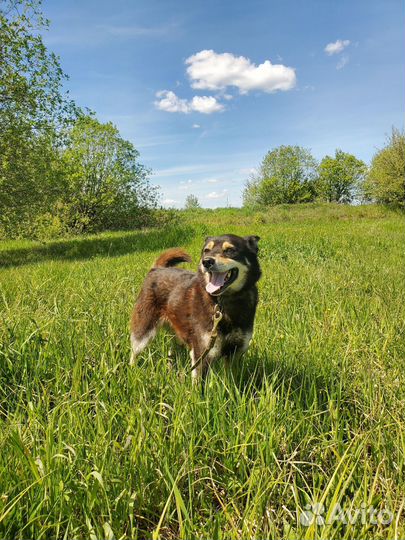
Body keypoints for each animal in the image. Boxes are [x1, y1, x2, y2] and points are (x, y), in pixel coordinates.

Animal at [130, 234, 262, 378]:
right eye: (206, 250)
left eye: (229, 250)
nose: (207, 262)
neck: (223, 302)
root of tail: (157, 268)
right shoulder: (202, 353)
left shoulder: (235, 353)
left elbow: (231, 381)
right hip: (143, 331)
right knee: (134, 352)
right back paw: (132, 372)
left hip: (176, 334)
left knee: (171, 353)